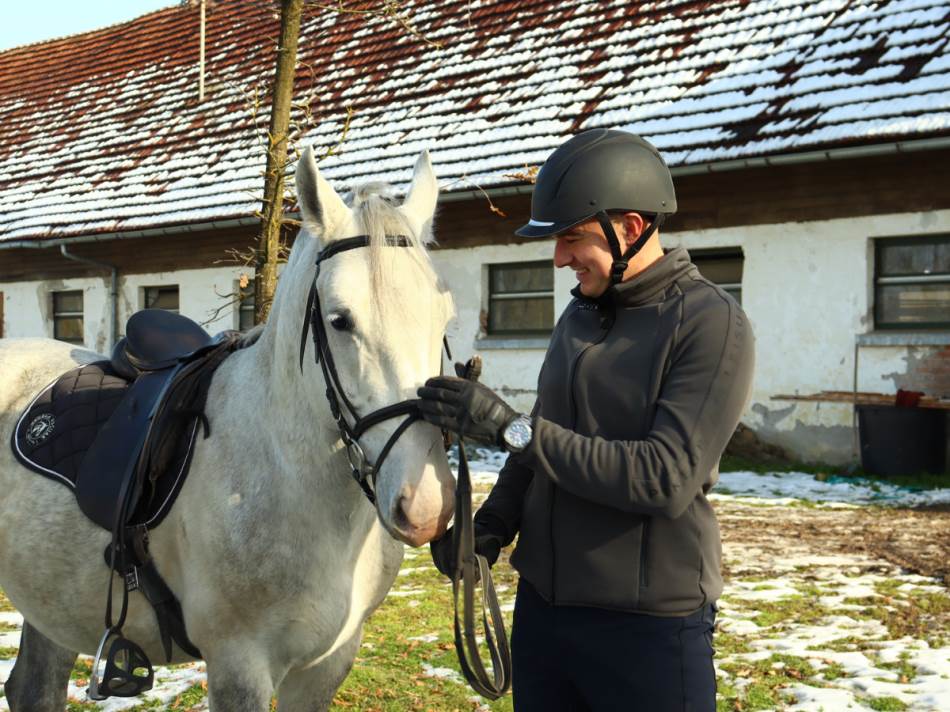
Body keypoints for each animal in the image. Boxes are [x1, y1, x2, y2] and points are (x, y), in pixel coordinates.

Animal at [0, 147, 457, 710]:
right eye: (340, 320)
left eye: (444, 316)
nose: (426, 506)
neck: (289, 478)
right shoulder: (240, 665)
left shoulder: (328, 663)